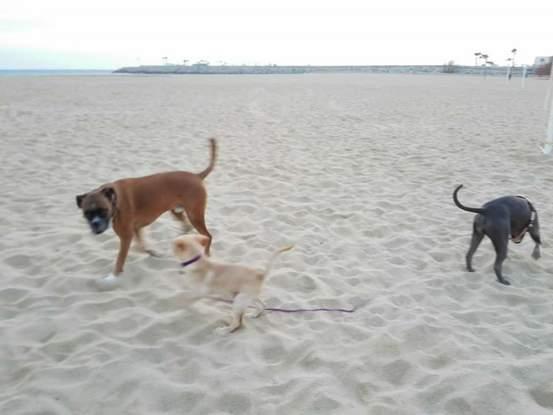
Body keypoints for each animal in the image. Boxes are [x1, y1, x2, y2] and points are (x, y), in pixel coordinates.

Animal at [76, 139, 218, 286]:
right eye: (87, 213)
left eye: (103, 210)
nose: (95, 224)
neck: (115, 199)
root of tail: (196, 176)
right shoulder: (136, 229)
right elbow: (142, 246)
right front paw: (153, 253)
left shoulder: (126, 237)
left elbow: (120, 259)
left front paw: (113, 277)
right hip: (176, 211)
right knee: (187, 226)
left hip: (195, 216)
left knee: (208, 235)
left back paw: (206, 254)